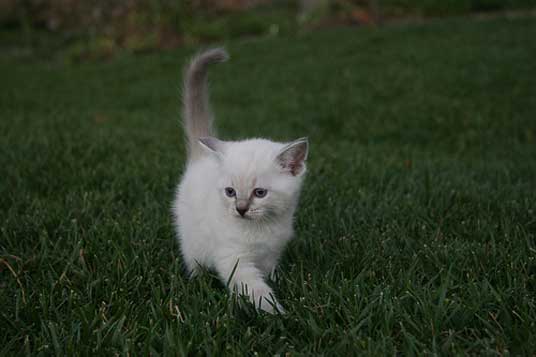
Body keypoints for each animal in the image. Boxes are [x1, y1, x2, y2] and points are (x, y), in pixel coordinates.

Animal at [170, 46, 308, 312]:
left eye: (260, 193)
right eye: (230, 192)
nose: (241, 209)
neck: (261, 230)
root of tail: (202, 155)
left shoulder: (271, 254)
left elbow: (271, 274)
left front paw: (280, 284)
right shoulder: (233, 259)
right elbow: (255, 288)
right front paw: (276, 310)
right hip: (191, 239)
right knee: (193, 261)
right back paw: (197, 282)